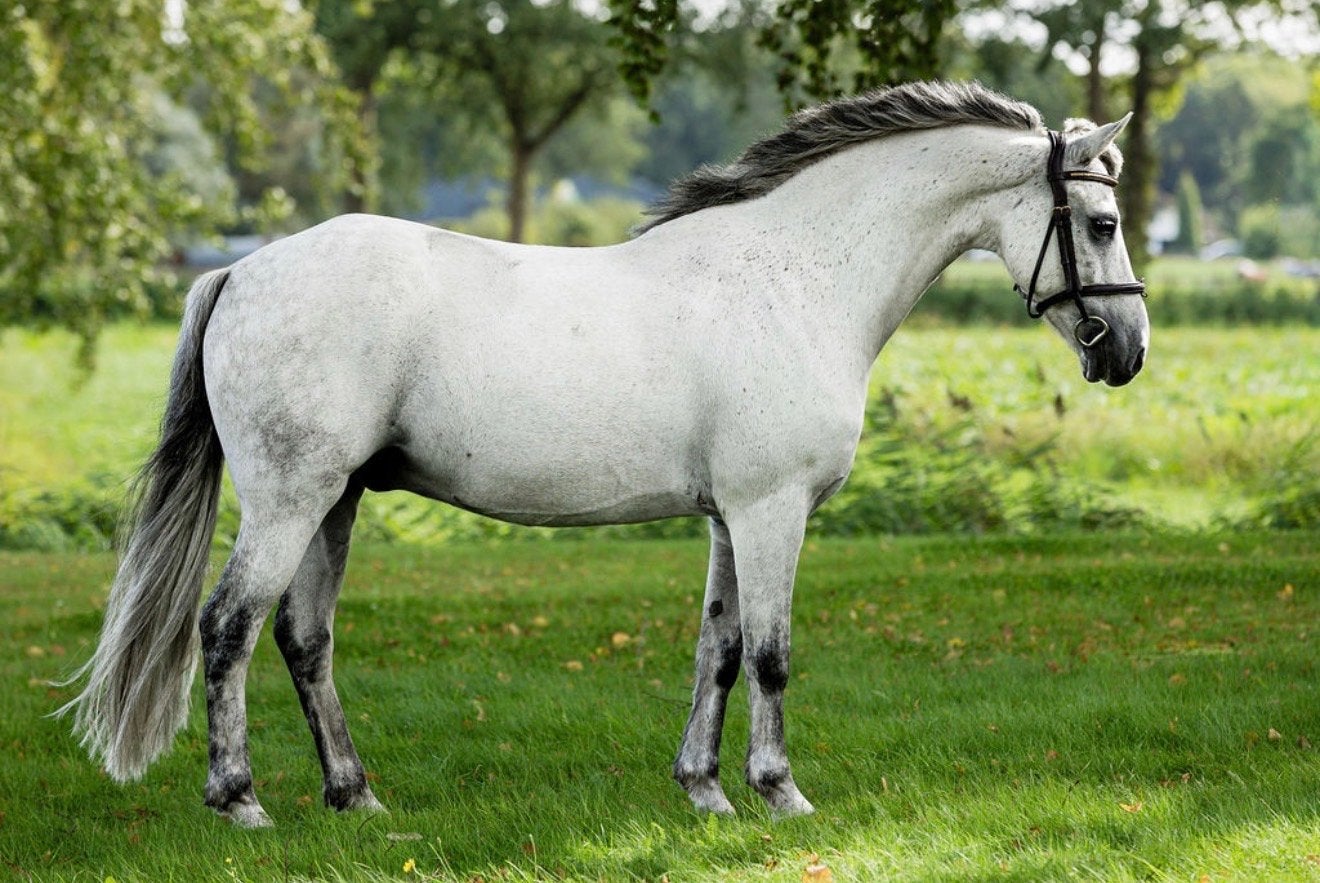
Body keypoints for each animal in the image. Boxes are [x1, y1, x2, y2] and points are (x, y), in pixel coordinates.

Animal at [60, 81, 1149, 828]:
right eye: (1100, 222)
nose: (1128, 353)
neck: (796, 274)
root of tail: (242, 270)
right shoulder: (771, 510)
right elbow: (771, 652)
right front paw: (779, 790)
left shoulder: (728, 516)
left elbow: (717, 647)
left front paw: (705, 790)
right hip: (291, 498)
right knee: (228, 627)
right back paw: (240, 798)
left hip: (337, 501)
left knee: (303, 637)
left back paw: (354, 794)